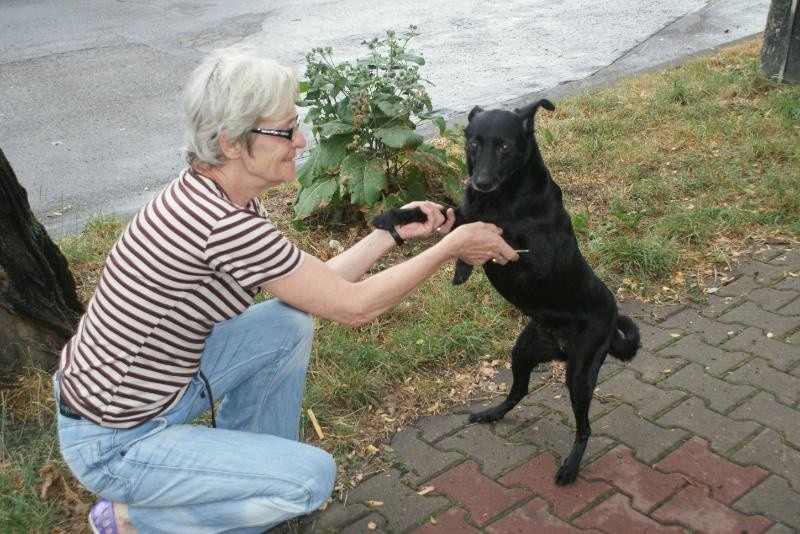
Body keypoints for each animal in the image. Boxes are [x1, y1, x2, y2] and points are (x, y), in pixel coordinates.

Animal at [372, 99, 640, 486]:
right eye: (474, 143)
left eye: (505, 146)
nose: (481, 182)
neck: (504, 197)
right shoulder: (464, 210)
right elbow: (445, 213)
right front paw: (394, 216)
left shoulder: (536, 258)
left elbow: (490, 231)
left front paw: (469, 256)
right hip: (523, 351)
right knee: (519, 391)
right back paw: (492, 412)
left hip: (580, 372)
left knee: (585, 428)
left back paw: (570, 467)